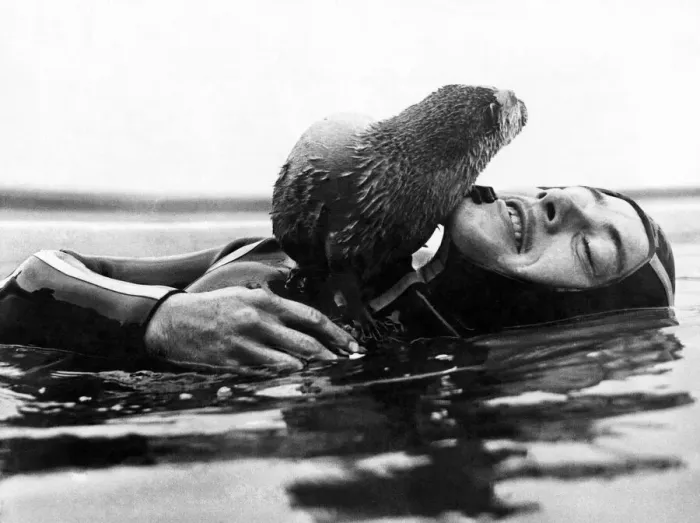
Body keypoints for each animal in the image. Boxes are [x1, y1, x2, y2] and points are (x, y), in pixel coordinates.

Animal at [271, 85, 527, 328]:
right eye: (513, 98)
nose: (524, 102)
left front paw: (478, 189)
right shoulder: (350, 222)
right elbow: (342, 271)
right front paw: (363, 319)